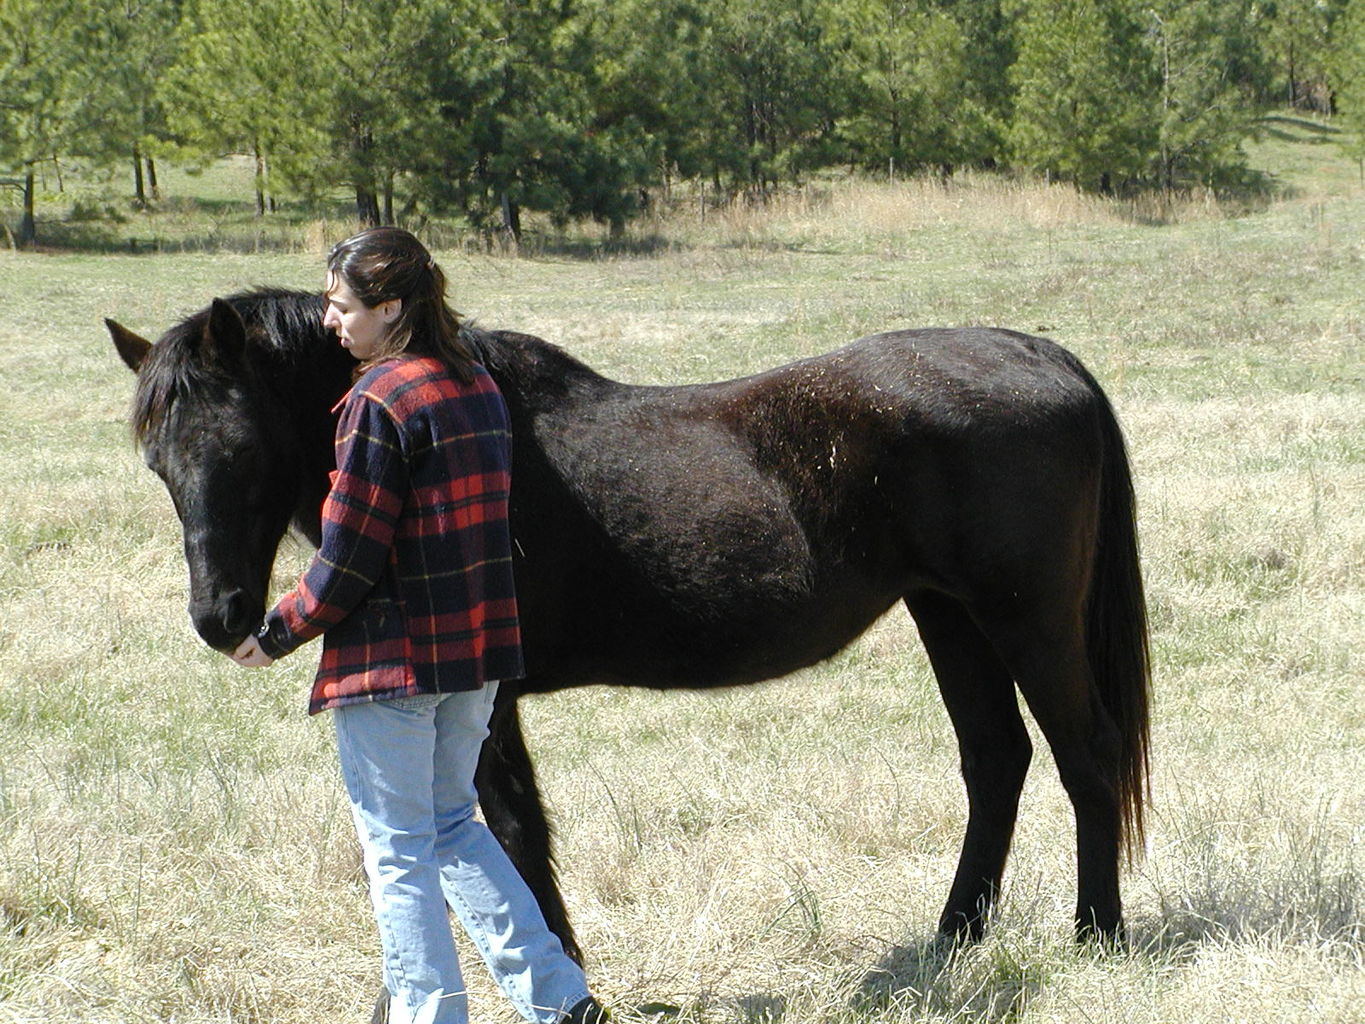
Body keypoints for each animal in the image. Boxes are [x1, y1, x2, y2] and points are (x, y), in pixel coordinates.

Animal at [109, 285, 1152, 961]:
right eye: (159, 463)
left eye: (241, 449)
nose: (221, 618)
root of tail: (1038, 352)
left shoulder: (484, 698)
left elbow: (512, 833)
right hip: (951, 617)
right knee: (996, 760)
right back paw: (952, 936)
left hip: (1027, 622)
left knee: (1086, 753)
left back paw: (1095, 933)